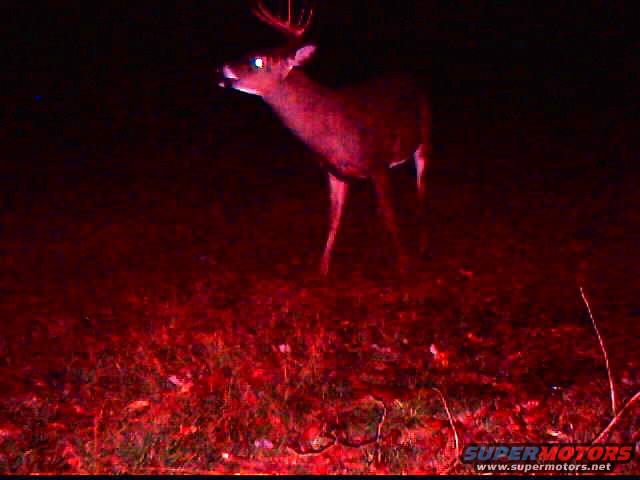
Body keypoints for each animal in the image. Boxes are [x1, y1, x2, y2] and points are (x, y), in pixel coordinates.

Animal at [218, 0, 431, 276]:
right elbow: (334, 218)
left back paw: (422, 247)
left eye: (258, 60)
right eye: (252, 50)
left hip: (424, 139)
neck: (332, 131)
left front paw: (404, 264)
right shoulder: (333, 170)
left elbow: (390, 212)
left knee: (421, 189)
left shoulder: (378, 162)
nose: (223, 67)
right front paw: (322, 269)